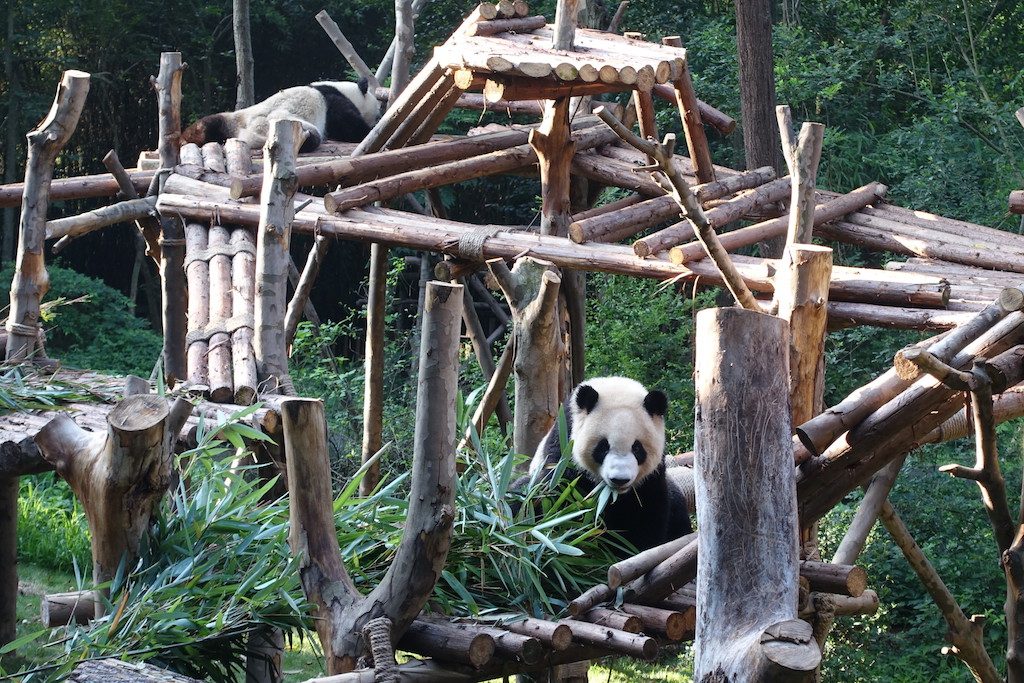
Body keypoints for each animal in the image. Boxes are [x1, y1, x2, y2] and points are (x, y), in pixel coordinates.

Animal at [181, 78, 380, 152]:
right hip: (282, 123)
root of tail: (244, 134)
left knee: (209, 123)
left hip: (232, 118)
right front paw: (369, 131)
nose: (379, 116)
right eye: (378, 114)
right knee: (311, 136)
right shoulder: (333, 103)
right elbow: (350, 126)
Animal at [528, 376, 688, 552]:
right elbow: (556, 496)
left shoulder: (652, 478)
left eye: (637, 448)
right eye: (603, 447)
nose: (620, 479)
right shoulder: (564, 449)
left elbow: (647, 515)